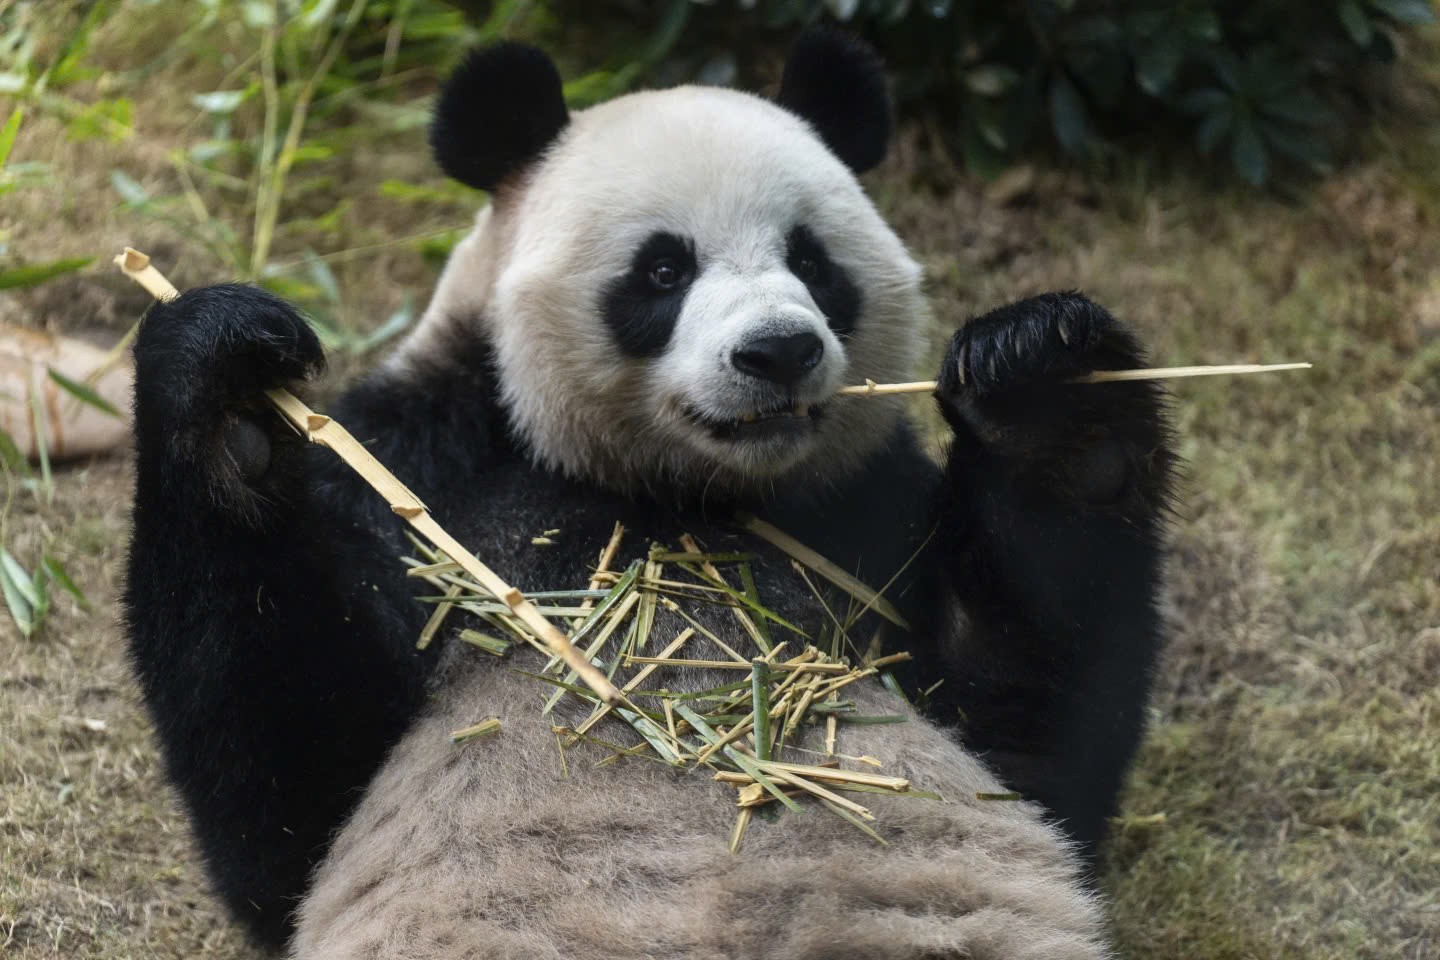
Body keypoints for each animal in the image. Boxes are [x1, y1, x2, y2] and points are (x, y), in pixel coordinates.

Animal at [126, 28, 1169, 960]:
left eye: (813, 260)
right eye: (664, 268)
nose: (779, 352)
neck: (674, 495)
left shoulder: (869, 502)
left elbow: (1028, 736)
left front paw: (1049, 390)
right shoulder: (424, 471)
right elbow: (290, 796)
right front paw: (232, 397)